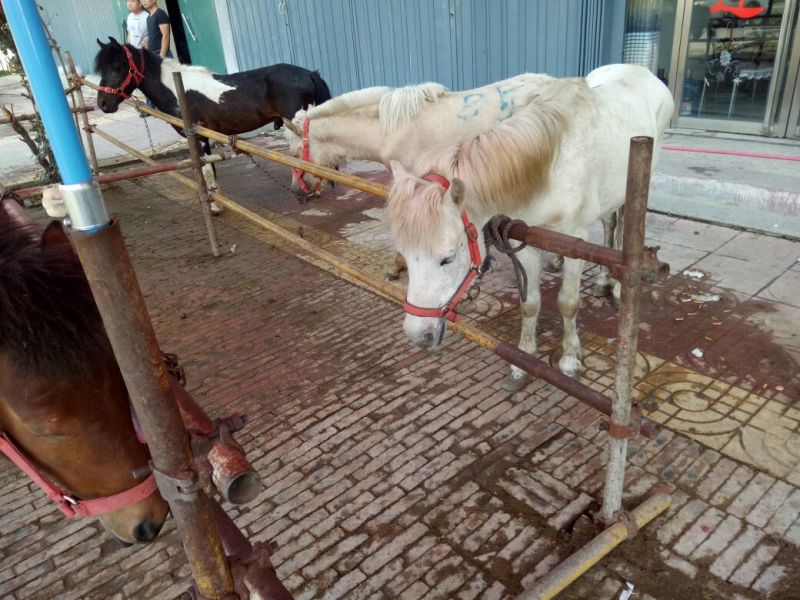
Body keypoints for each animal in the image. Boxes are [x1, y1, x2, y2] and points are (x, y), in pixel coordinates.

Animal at [93, 37, 332, 212]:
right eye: (102, 69)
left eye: (118, 67)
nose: (103, 104)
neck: (176, 89)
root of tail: (309, 74)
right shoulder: (206, 137)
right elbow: (211, 169)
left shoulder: (197, 138)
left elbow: (206, 171)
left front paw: (215, 206)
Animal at [386, 64, 673, 389]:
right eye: (404, 257)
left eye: (447, 258)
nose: (417, 336)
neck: (551, 163)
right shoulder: (524, 241)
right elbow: (530, 303)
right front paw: (522, 364)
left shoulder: (575, 239)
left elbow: (568, 303)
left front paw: (569, 359)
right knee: (610, 223)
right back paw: (603, 280)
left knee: (625, 225)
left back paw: (617, 289)